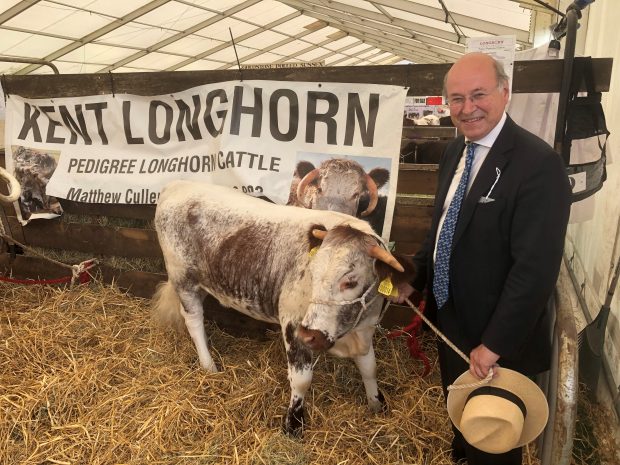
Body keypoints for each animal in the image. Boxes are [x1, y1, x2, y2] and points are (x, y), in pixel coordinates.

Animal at [152, 181, 414, 436]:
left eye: (351, 281)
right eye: (313, 273)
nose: (311, 335)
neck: (352, 331)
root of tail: (177, 184)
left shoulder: (366, 330)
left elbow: (369, 368)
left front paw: (377, 404)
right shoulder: (292, 322)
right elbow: (301, 380)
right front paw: (293, 424)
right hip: (183, 279)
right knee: (194, 320)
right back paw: (209, 367)